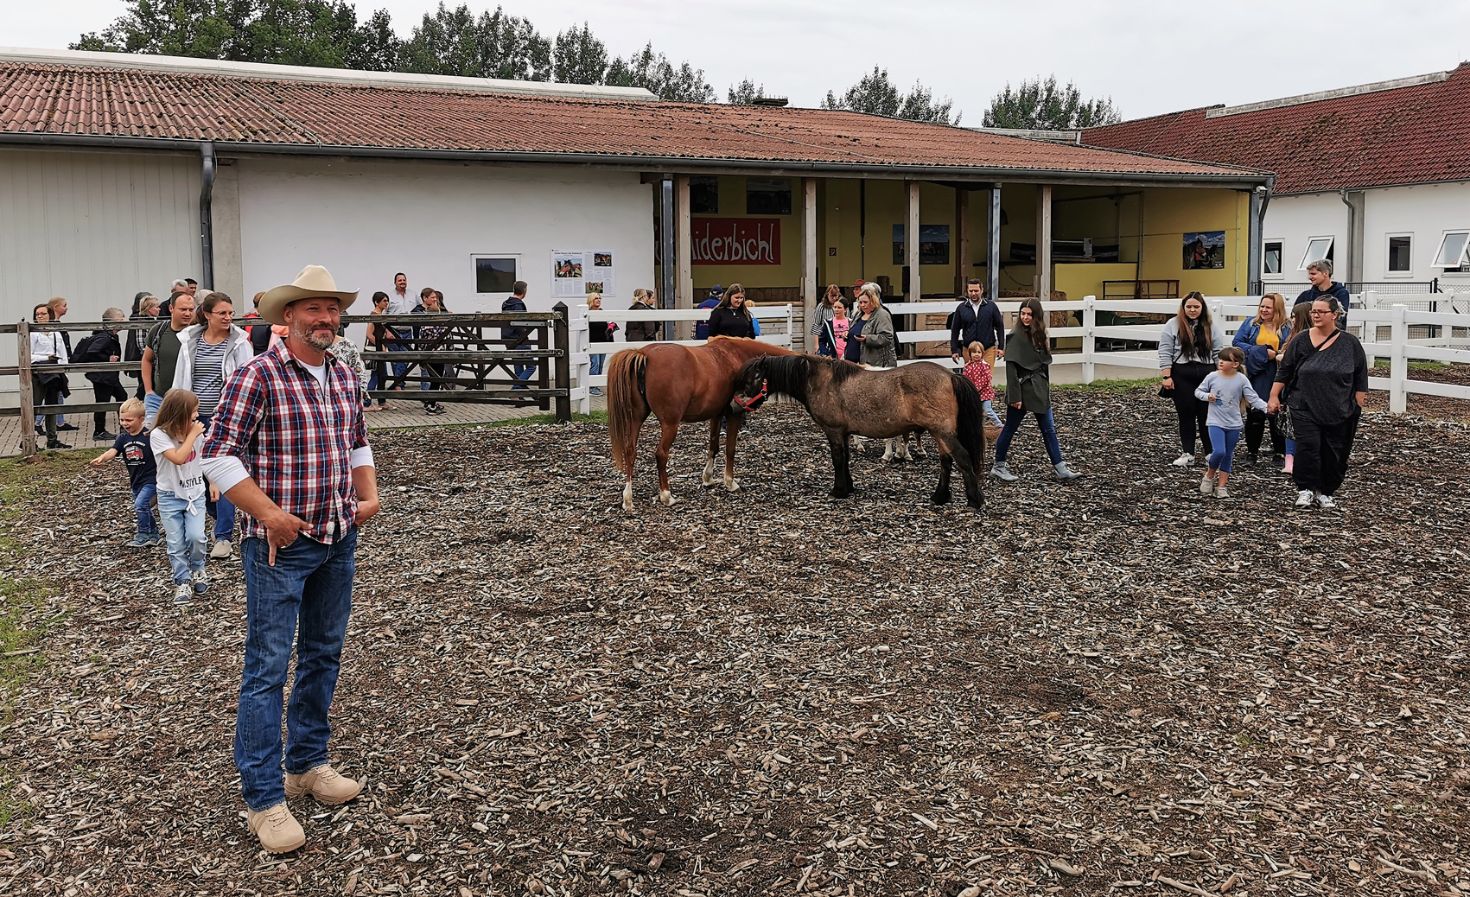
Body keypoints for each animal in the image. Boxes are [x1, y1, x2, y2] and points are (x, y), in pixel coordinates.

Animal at [607, 337, 795, 511]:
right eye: (751, 380)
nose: (736, 402)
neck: (736, 355)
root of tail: (644, 354)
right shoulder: (734, 415)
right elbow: (730, 449)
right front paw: (730, 482)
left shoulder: (716, 415)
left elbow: (713, 446)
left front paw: (708, 478)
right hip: (670, 424)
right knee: (661, 454)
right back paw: (666, 495)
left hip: (636, 419)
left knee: (630, 451)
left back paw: (628, 498)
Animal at [731, 355, 985, 509]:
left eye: (752, 379)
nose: (734, 405)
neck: (820, 380)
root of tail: (951, 375)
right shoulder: (844, 433)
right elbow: (846, 459)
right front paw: (849, 487)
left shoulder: (833, 431)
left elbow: (837, 459)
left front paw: (838, 490)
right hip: (939, 433)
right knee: (946, 461)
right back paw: (940, 496)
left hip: (943, 432)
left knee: (962, 459)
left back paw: (975, 500)